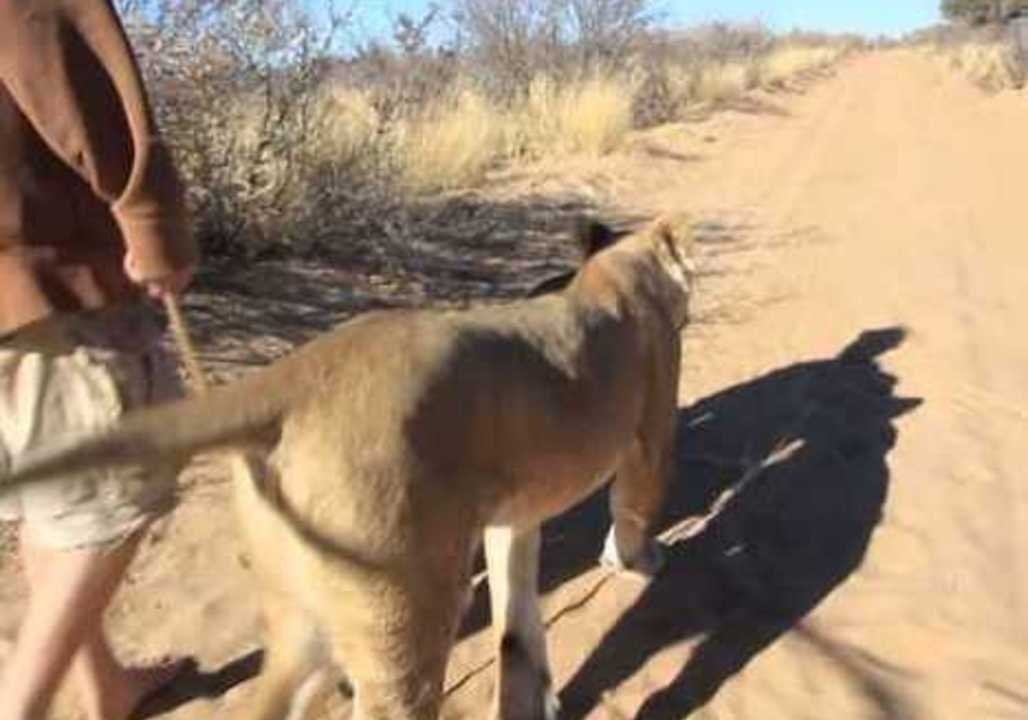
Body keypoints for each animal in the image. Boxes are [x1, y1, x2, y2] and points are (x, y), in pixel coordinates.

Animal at [4, 214, 695, 720]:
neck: (612, 273)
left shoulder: (514, 516)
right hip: (404, 609)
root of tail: (297, 376)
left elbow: (517, 625)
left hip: (304, 613)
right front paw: (638, 562)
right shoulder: (650, 430)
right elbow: (637, 502)